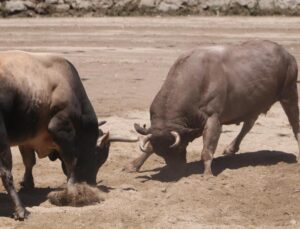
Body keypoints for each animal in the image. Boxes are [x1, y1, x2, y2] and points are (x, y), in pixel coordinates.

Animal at [0, 50, 136, 220]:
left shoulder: (28, 137)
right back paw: (21, 209)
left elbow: (29, 162)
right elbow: (71, 161)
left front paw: (28, 183)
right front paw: (72, 188)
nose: (91, 184)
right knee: (6, 173)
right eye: (98, 157)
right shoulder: (61, 128)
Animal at [125, 39, 298, 175]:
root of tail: (287, 54)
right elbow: (148, 147)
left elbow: (207, 148)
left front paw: (207, 173)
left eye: (178, 149)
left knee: (295, 123)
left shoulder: (213, 118)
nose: (176, 171)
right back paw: (230, 148)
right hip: (253, 104)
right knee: (249, 124)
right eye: (161, 153)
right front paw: (133, 165)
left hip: (289, 94)